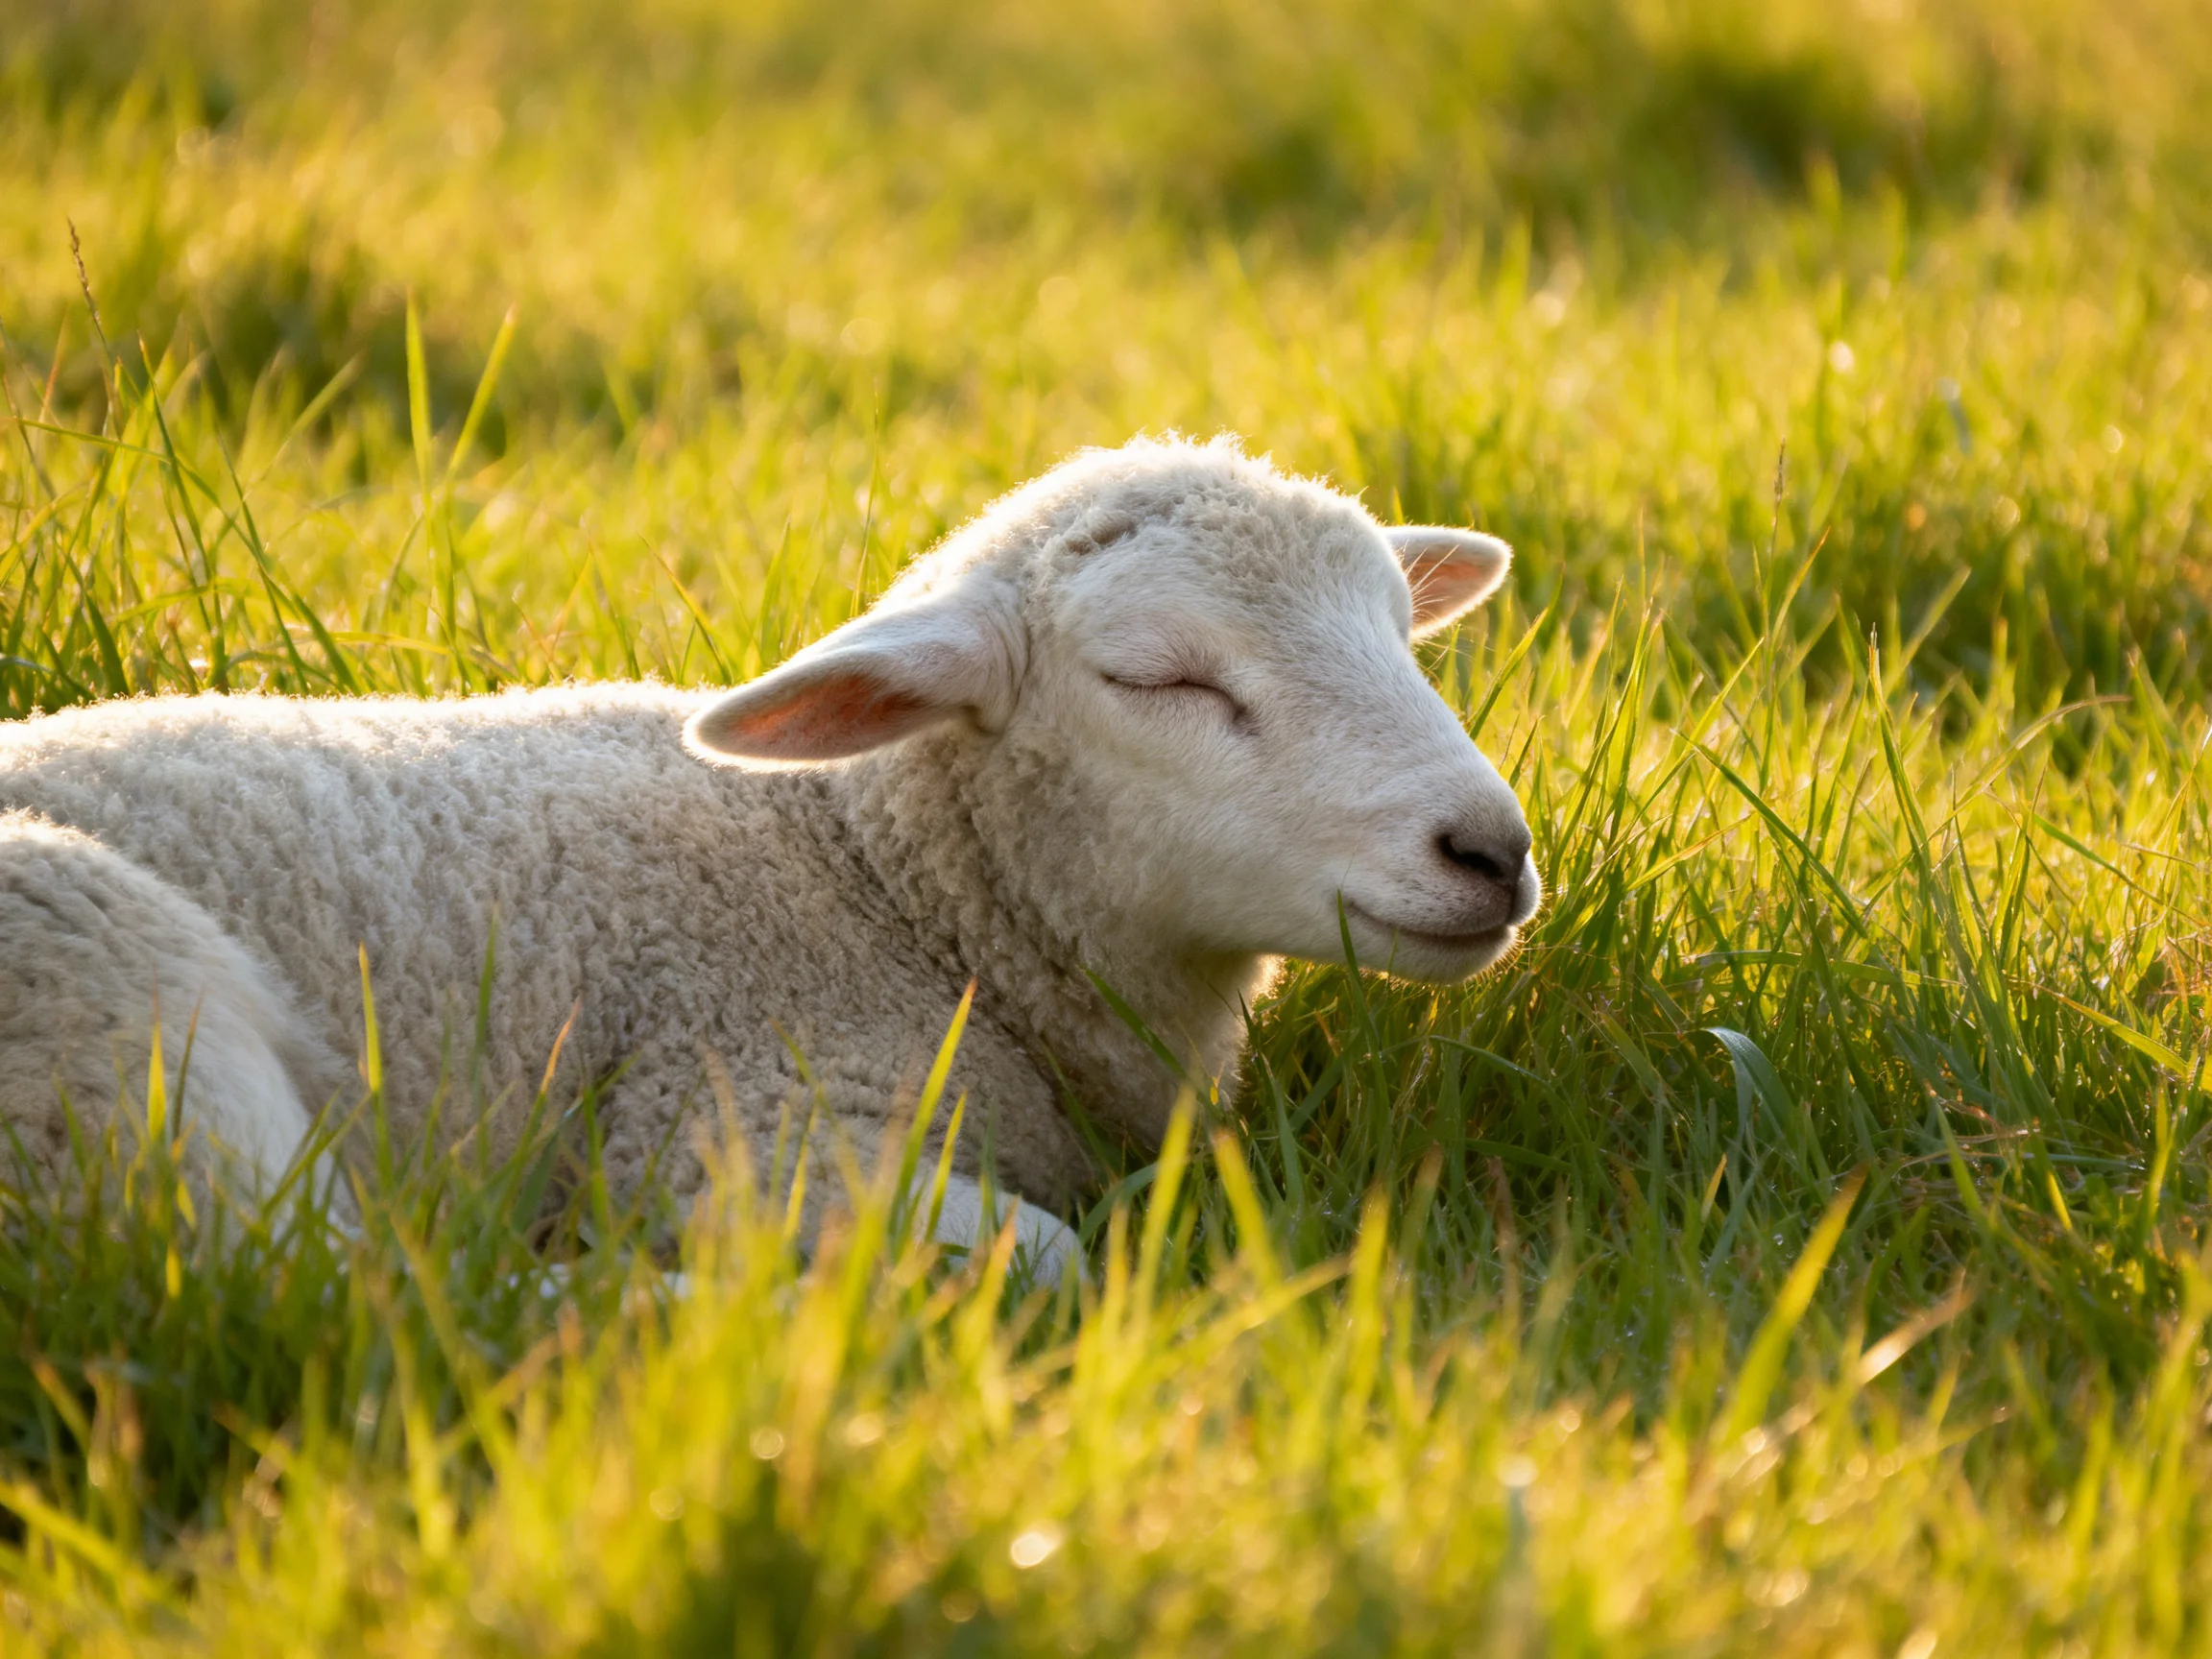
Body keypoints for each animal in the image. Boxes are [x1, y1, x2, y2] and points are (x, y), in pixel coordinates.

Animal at [0, 436, 1540, 1278]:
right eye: (1156, 677)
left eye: (1402, 628)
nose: (1492, 850)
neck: (879, 882)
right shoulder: (736, 1128)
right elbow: (1048, 1253)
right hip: (112, 1009)